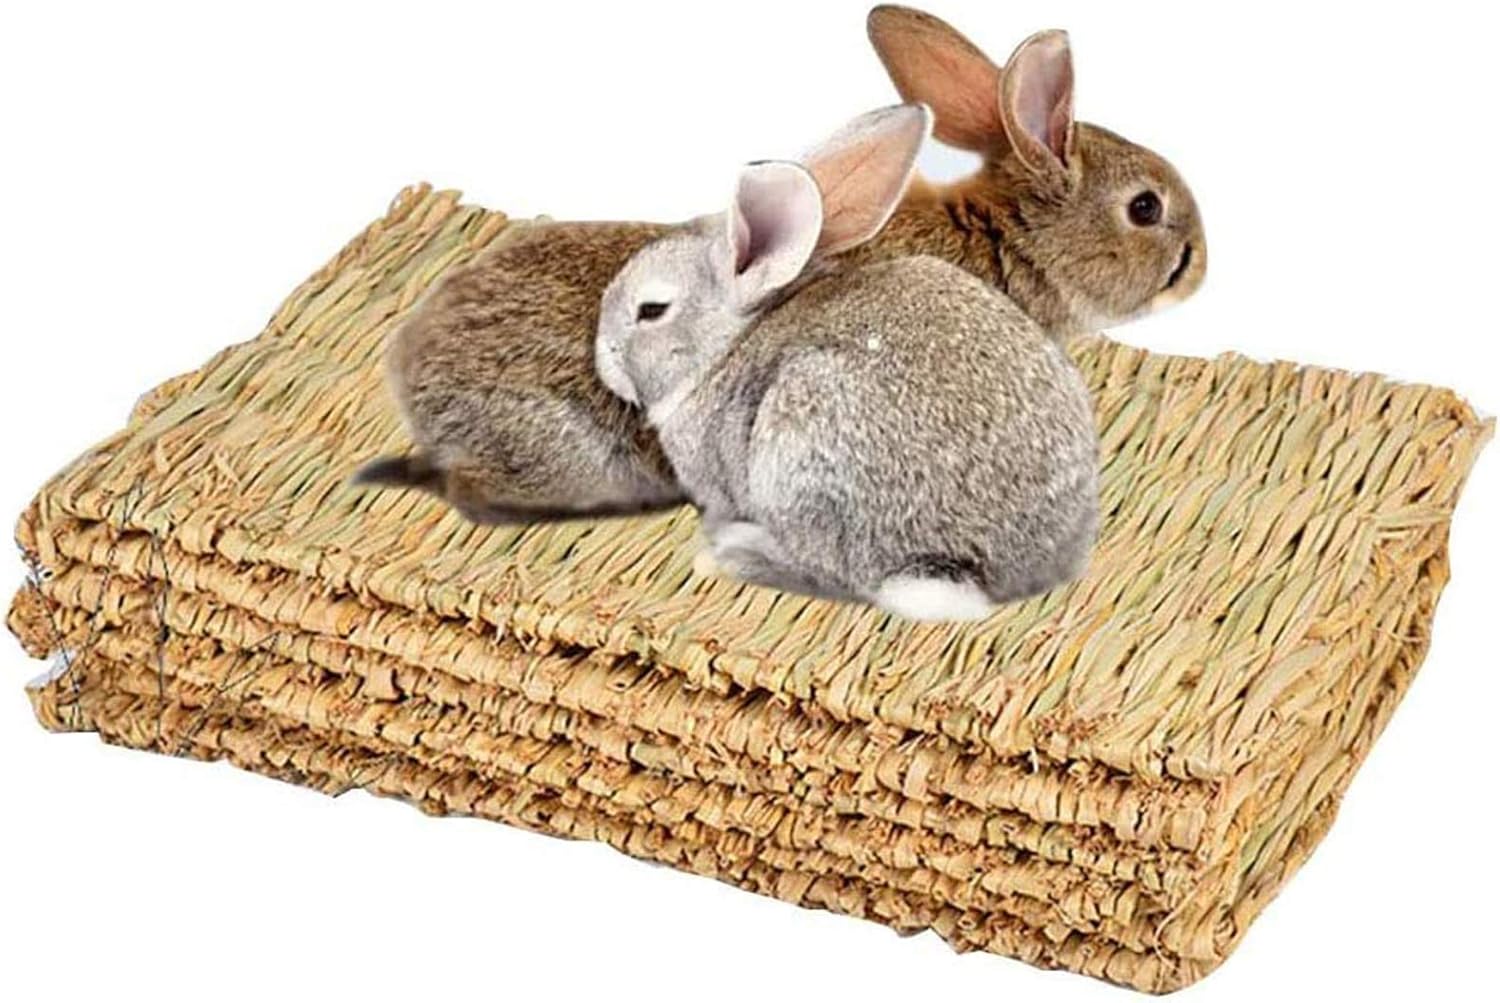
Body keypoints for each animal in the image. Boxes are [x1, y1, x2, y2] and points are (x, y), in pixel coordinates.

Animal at [595, 104, 1099, 622]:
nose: (603, 355)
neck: (725, 346)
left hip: (802, 445)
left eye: (651, 310)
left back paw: (737, 551)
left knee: (836, 572)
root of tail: (982, 569)